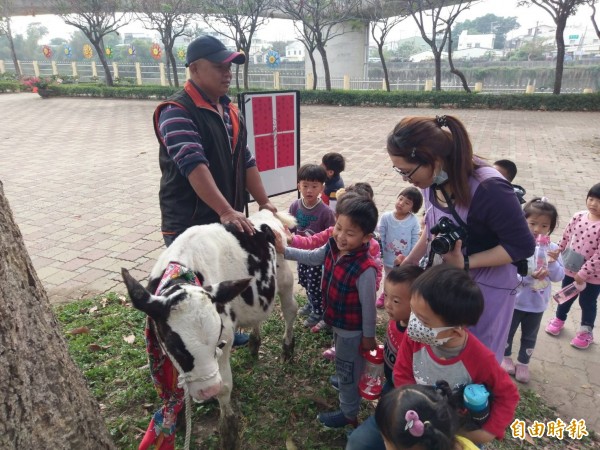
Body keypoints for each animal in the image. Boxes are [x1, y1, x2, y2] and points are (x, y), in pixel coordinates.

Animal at [121, 209, 298, 448]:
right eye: (175, 347)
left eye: (219, 343)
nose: (208, 390)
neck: (182, 269)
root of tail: (267, 214)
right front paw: (179, 416)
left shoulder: (227, 337)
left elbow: (225, 386)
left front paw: (228, 431)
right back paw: (254, 343)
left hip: (285, 279)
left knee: (290, 311)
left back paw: (287, 349)